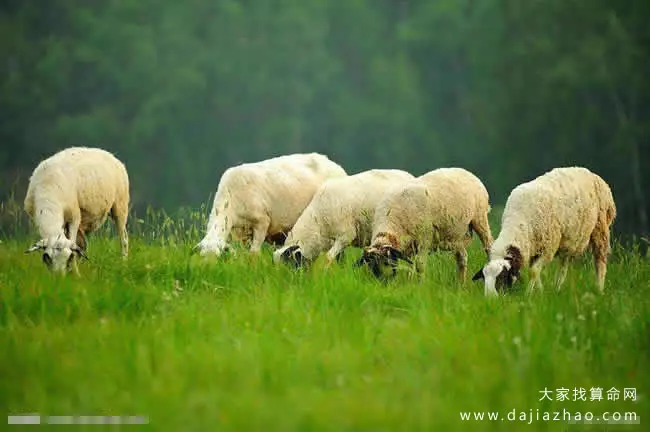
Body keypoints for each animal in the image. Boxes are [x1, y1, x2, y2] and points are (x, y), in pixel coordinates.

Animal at [24, 145, 130, 274]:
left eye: (68, 257)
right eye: (47, 258)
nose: (59, 277)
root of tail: (111, 155)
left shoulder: (74, 218)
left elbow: (74, 246)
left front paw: (75, 273)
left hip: (120, 205)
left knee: (123, 239)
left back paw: (124, 264)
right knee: (83, 244)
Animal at [192, 153, 346, 256]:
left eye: (217, 258)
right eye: (202, 258)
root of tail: (335, 165)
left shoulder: (262, 222)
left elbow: (253, 254)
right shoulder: (241, 233)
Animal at [354, 167, 492, 282]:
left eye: (388, 262)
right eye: (372, 267)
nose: (384, 282)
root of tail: (466, 172)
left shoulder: (424, 238)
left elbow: (419, 266)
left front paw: (419, 286)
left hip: (480, 218)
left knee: (489, 247)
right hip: (456, 236)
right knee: (462, 258)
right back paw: (460, 285)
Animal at [470, 166, 612, 296]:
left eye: (502, 276)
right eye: (484, 278)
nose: (490, 298)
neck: (519, 222)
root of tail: (592, 174)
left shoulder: (548, 247)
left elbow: (533, 271)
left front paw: (529, 294)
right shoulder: (533, 246)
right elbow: (536, 272)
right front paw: (540, 291)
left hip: (600, 229)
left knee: (600, 261)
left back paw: (599, 289)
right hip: (568, 239)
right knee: (563, 266)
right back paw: (557, 288)